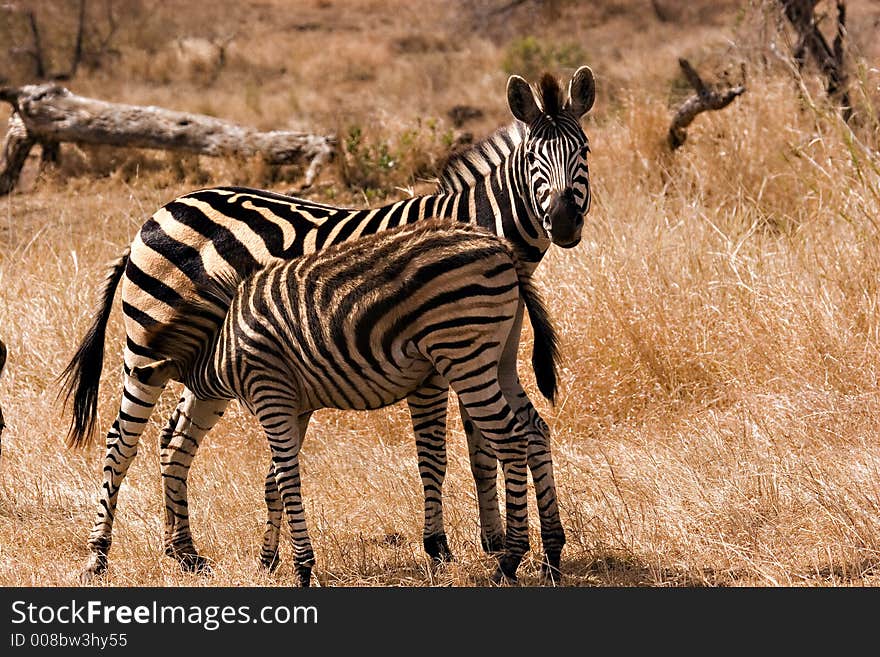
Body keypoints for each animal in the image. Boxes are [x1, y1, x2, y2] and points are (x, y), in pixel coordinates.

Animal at [131, 220, 556, 584]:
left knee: (511, 440)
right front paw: (267, 560)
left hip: (463, 352)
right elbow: (272, 482)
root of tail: (500, 245)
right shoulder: (296, 406)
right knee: (535, 430)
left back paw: (510, 559)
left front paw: (302, 567)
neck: (221, 344)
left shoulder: (270, 392)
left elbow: (286, 479)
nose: (184, 559)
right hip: (500, 357)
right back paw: (552, 551)